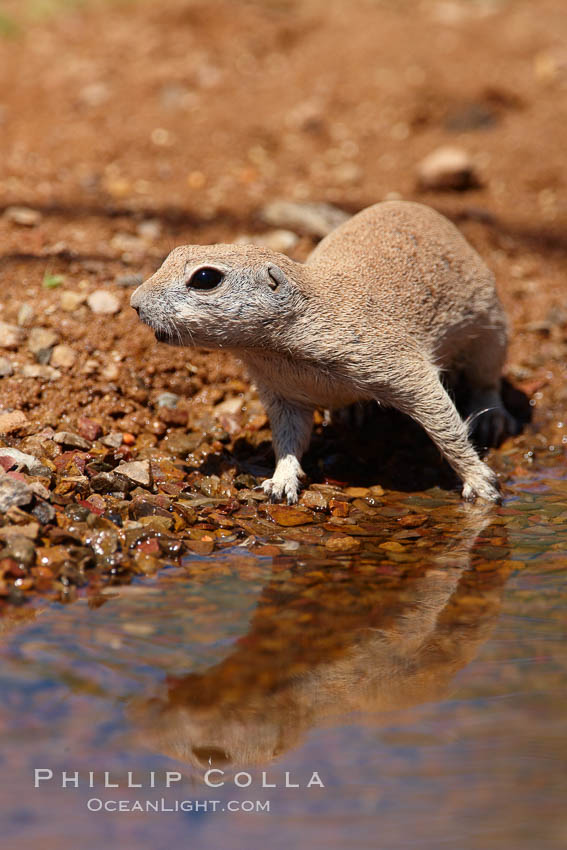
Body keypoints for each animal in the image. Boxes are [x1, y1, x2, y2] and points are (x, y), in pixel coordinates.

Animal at [131, 201, 516, 500]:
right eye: (170, 255)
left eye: (205, 278)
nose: (135, 303)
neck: (272, 350)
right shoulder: (280, 391)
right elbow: (289, 436)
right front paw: (281, 480)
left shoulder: (395, 361)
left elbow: (442, 419)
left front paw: (479, 479)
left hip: (490, 325)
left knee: (486, 379)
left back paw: (492, 415)